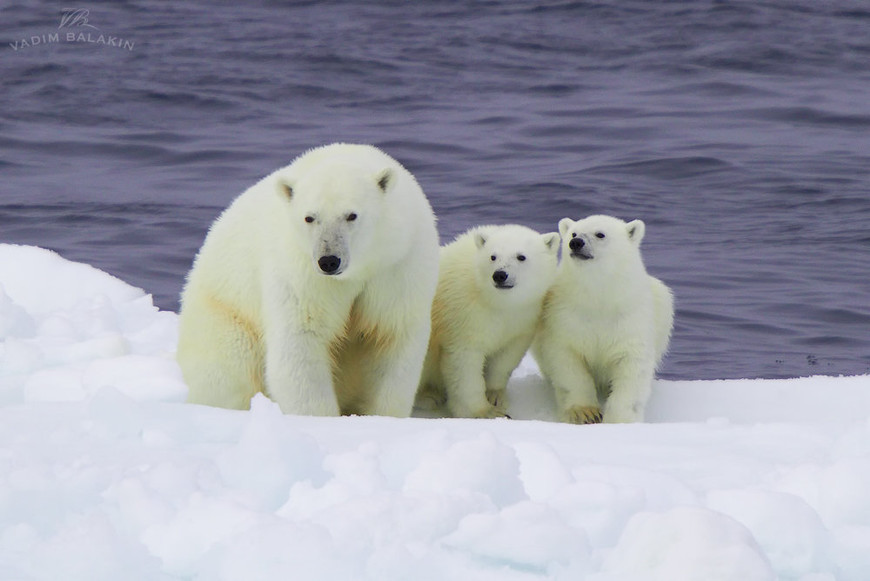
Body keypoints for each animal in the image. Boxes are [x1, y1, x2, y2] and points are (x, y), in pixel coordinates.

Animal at [176, 144, 440, 416]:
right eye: (310, 217)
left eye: (351, 215)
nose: (329, 260)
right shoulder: (301, 273)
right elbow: (301, 341)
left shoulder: (397, 267)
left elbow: (392, 337)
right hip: (225, 317)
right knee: (230, 373)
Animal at [420, 222, 564, 416]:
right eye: (493, 256)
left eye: (521, 256)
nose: (500, 275)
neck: (492, 299)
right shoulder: (463, 314)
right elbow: (464, 363)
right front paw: (485, 412)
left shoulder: (522, 317)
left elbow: (506, 356)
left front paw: (496, 396)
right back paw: (429, 396)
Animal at [532, 213, 676, 422]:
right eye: (573, 233)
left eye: (600, 234)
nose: (576, 243)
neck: (599, 299)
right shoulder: (563, 316)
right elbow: (568, 362)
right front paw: (585, 412)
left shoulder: (631, 320)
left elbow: (632, 368)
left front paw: (619, 419)